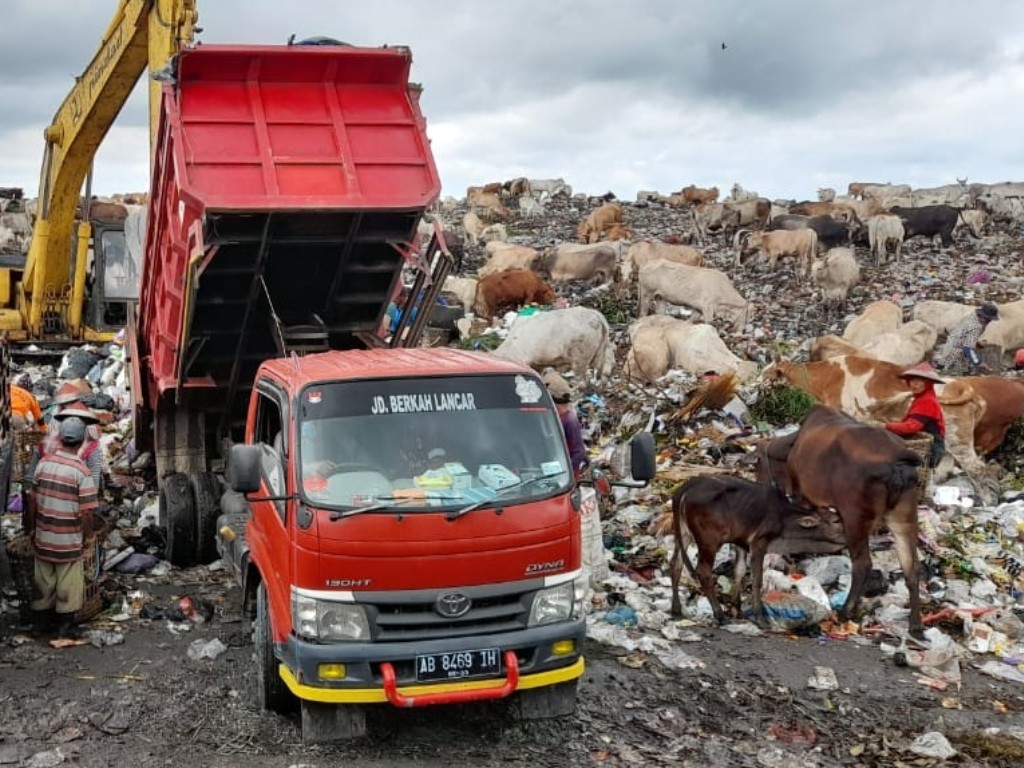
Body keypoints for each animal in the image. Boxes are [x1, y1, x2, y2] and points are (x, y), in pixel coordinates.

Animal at [667, 475, 843, 626]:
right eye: (835, 521)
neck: (783, 517)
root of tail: (686, 486)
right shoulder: (759, 542)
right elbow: (757, 579)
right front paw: (759, 617)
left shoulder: (740, 541)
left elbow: (739, 571)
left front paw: (736, 609)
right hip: (709, 541)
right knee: (703, 571)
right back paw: (719, 614)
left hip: (683, 534)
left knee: (675, 565)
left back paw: (676, 609)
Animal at [757, 405, 925, 634]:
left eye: (757, 465)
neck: (795, 444)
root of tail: (897, 458)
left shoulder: (805, 496)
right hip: (904, 519)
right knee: (912, 568)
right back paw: (915, 624)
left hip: (856, 518)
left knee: (863, 564)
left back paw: (845, 611)